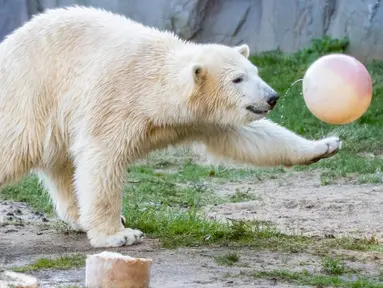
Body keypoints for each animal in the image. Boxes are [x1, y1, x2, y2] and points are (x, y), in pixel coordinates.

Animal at [0, 6, 342, 248]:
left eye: (255, 71)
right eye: (237, 79)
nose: (272, 97)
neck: (153, 86)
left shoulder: (202, 118)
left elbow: (248, 137)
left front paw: (325, 145)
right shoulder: (114, 101)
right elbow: (102, 159)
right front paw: (119, 235)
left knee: (60, 165)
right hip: (31, 98)